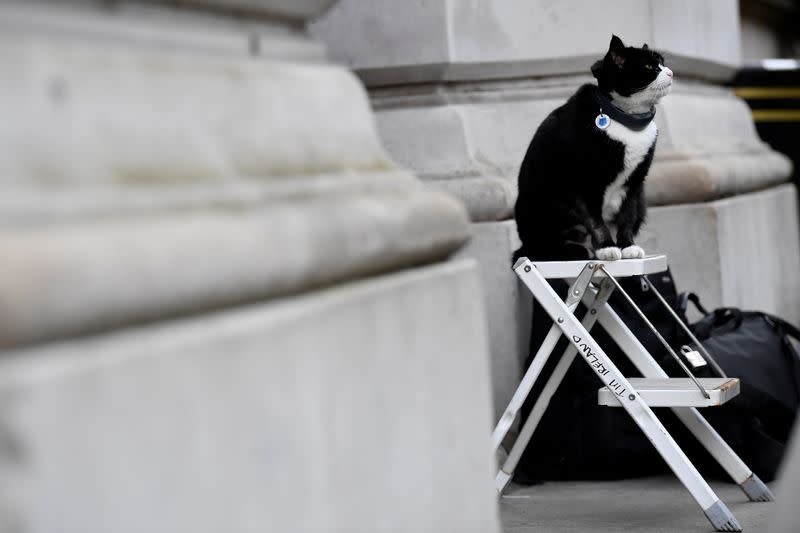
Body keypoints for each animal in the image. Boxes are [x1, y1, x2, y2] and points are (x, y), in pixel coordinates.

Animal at [512, 34, 668, 260]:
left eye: (663, 63)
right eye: (648, 66)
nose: (671, 72)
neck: (627, 122)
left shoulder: (634, 183)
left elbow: (627, 217)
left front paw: (627, 246)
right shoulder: (582, 182)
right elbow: (595, 220)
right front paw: (607, 247)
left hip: (642, 201)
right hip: (536, 208)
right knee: (540, 248)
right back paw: (578, 250)